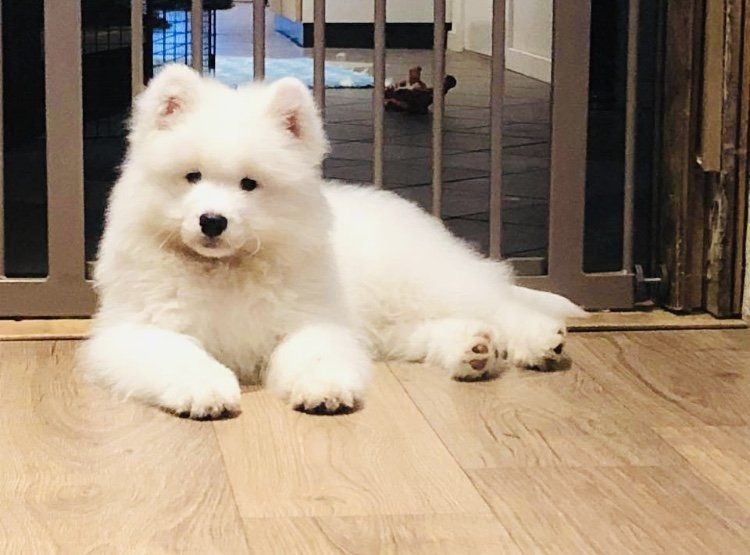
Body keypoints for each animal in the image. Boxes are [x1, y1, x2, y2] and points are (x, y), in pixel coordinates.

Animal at [81, 64, 585, 419]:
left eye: (249, 184)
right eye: (192, 177)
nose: (212, 221)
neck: (226, 269)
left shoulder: (309, 318)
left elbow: (314, 351)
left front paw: (323, 389)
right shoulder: (137, 329)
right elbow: (177, 355)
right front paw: (203, 389)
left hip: (421, 282)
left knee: (497, 299)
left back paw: (538, 340)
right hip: (395, 320)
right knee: (432, 329)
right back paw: (475, 351)